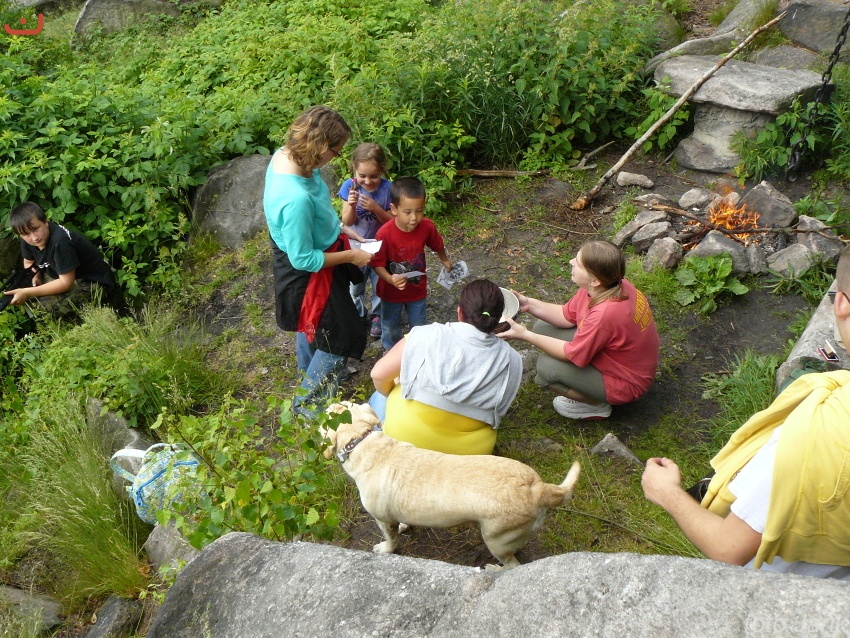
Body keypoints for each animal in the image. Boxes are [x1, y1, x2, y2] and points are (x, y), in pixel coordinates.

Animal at [323, 402, 581, 570]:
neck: (361, 441)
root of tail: (537, 488)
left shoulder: (383, 520)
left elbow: (391, 539)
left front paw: (386, 550)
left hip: (495, 540)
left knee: (512, 565)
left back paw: (494, 569)